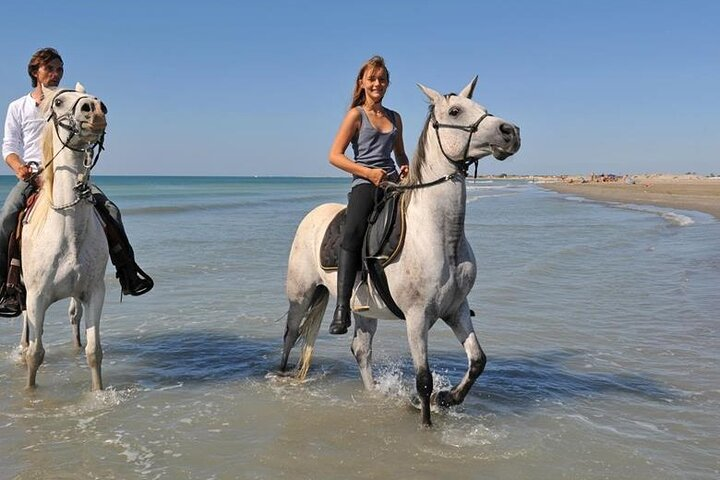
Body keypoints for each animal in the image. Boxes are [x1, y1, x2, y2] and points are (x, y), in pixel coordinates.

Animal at [20, 83, 109, 390]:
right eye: (59, 102)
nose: (95, 109)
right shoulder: (36, 297)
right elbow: (36, 354)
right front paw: (30, 392)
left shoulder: (94, 292)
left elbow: (94, 352)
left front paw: (97, 393)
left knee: (73, 317)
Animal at [278, 77, 520, 426]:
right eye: (455, 111)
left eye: (482, 108)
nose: (510, 132)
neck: (440, 236)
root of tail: (312, 215)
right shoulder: (417, 318)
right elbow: (424, 379)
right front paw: (427, 423)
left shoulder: (456, 309)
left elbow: (478, 360)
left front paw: (447, 398)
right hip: (301, 295)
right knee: (291, 334)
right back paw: (282, 377)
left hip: (364, 310)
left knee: (360, 349)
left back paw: (374, 394)